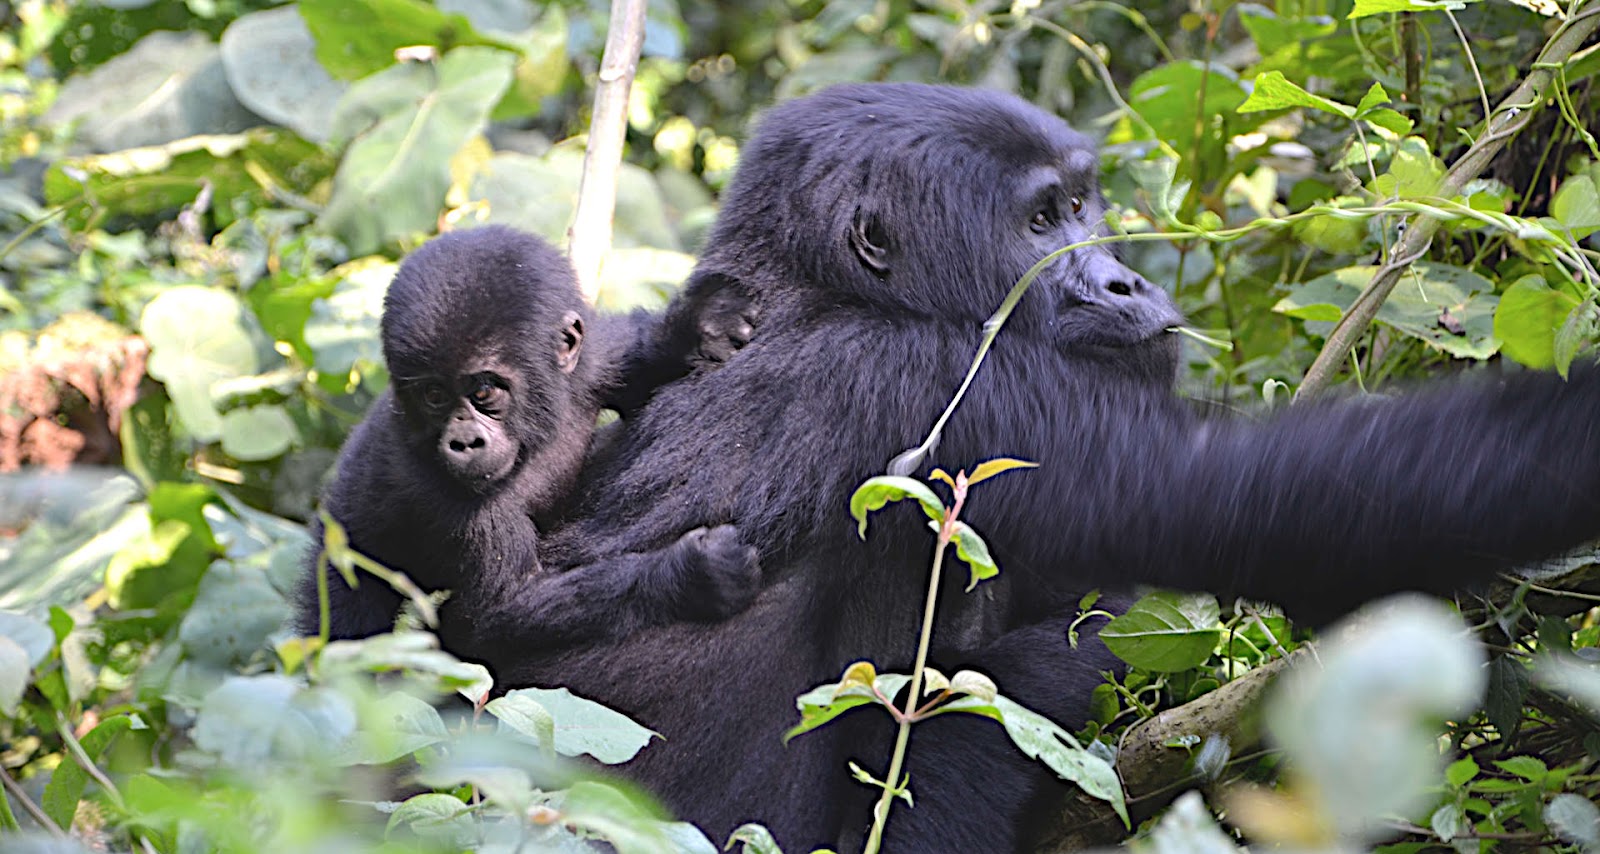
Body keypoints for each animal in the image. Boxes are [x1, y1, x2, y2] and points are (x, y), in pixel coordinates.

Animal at [297, 223, 758, 652]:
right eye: (434, 396)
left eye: (484, 392)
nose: (464, 442)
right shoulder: (449, 501)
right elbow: (505, 609)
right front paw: (691, 575)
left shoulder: (590, 362)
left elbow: (635, 351)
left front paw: (698, 328)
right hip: (337, 559)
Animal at [467, 85, 1600, 854]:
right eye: (1041, 220)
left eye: (1087, 207)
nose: (1125, 280)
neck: (812, 288)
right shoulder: (927, 382)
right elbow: (1287, 507)